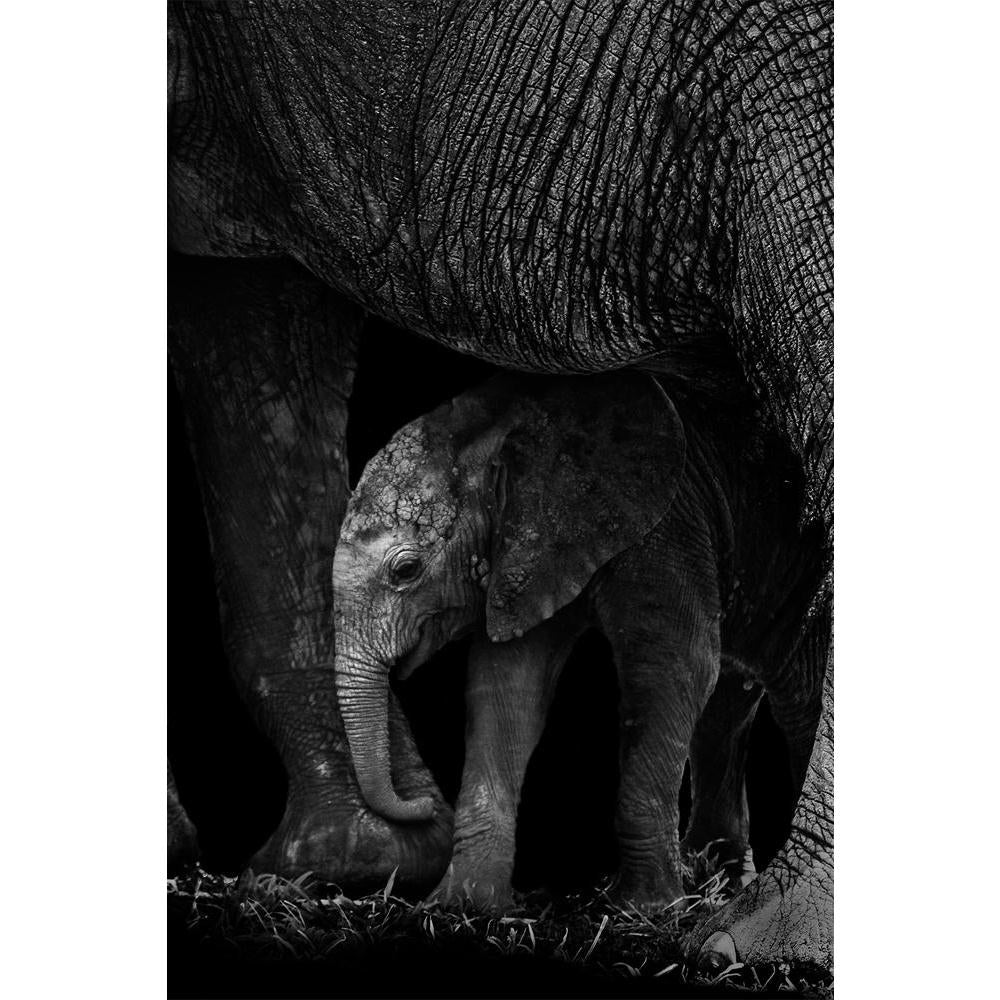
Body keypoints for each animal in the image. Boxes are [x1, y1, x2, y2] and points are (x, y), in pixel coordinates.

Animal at [331, 371, 825, 910]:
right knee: (732, 708)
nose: (421, 803)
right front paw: (464, 904)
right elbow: (507, 687)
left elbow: (674, 670)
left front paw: (646, 908)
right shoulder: (528, 552)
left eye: (406, 570)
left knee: (797, 697)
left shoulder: (669, 523)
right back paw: (723, 884)